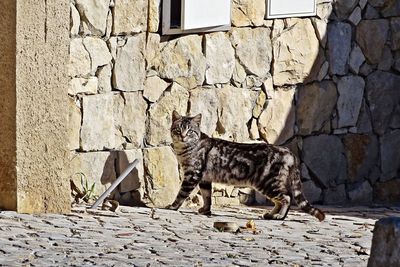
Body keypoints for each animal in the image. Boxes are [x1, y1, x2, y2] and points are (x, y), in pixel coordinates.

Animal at [166, 111, 324, 222]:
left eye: (190, 131)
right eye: (178, 130)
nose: (183, 136)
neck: (184, 150)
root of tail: (288, 152)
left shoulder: (193, 174)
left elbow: (181, 194)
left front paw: (172, 206)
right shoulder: (204, 179)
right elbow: (207, 196)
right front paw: (205, 210)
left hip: (268, 183)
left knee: (287, 197)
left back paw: (279, 216)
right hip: (269, 184)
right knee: (280, 200)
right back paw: (270, 214)